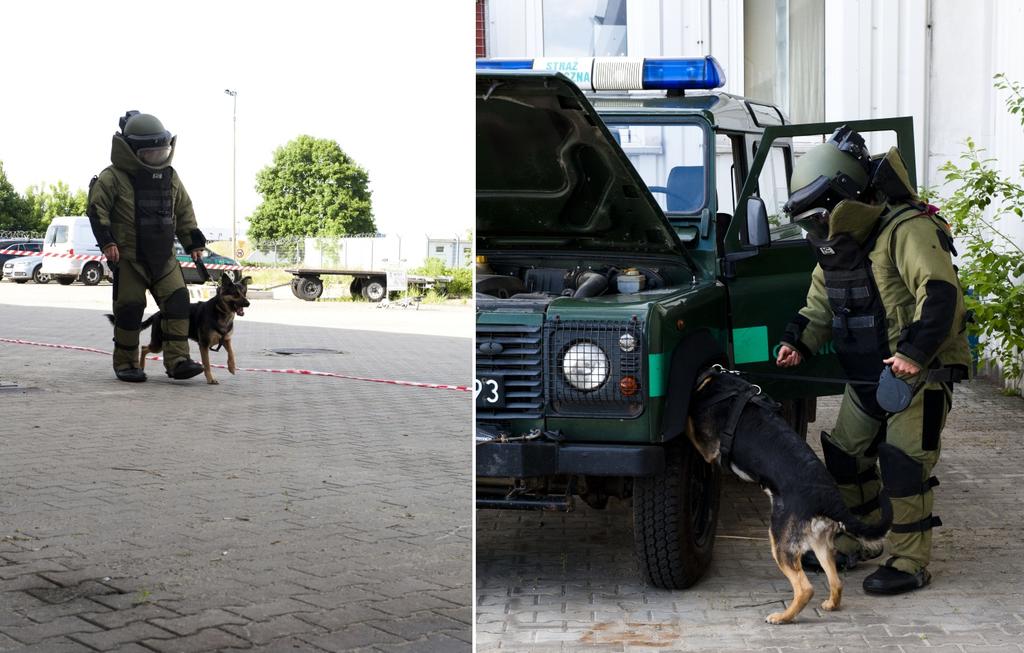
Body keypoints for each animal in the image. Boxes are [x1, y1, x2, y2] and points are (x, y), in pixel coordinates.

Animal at [688, 370, 897, 626]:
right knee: (836, 582)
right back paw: (830, 604)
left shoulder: (708, 450)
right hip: (819, 542)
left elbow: (689, 428)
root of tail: (828, 496)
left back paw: (782, 616)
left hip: (780, 541)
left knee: (805, 588)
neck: (717, 384)